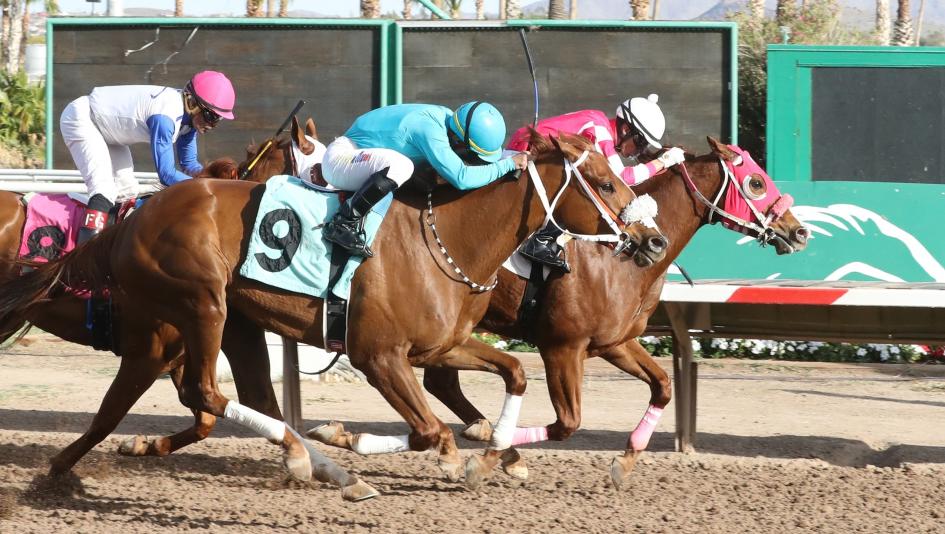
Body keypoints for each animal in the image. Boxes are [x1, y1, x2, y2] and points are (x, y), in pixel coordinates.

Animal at [0, 127, 661, 489]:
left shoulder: (439, 345)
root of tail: (133, 218)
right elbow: (426, 430)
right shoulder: (377, 355)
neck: (445, 239)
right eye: (604, 183)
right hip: (201, 303)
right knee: (203, 392)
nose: (652, 240)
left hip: (232, 321)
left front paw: (488, 455)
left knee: (241, 399)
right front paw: (352, 439)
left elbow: (513, 372)